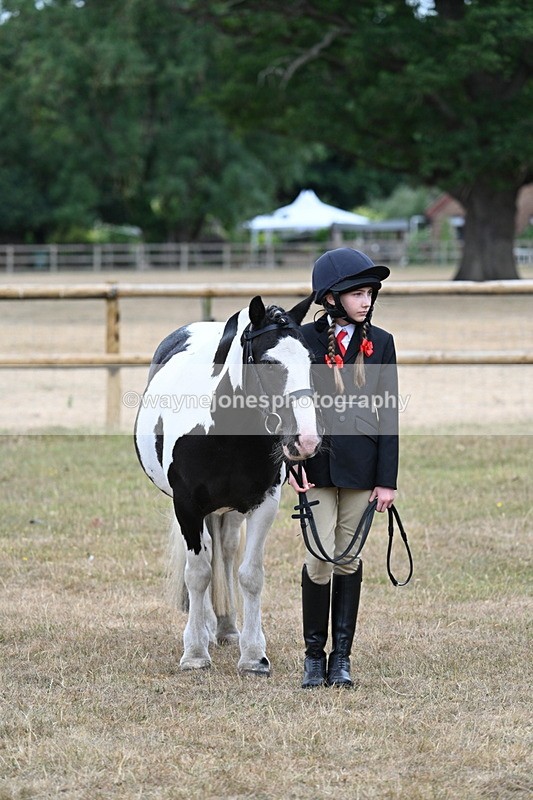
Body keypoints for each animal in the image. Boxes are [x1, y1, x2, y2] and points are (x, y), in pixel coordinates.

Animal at [134, 294, 320, 676]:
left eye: (310, 360)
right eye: (269, 363)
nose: (306, 441)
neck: (223, 431)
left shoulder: (264, 504)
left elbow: (250, 575)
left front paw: (253, 655)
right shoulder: (187, 507)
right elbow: (198, 573)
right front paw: (194, 652)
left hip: (229, 512)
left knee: (227, 551)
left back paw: (226, 627)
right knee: (204, 558)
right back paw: (205, 627)